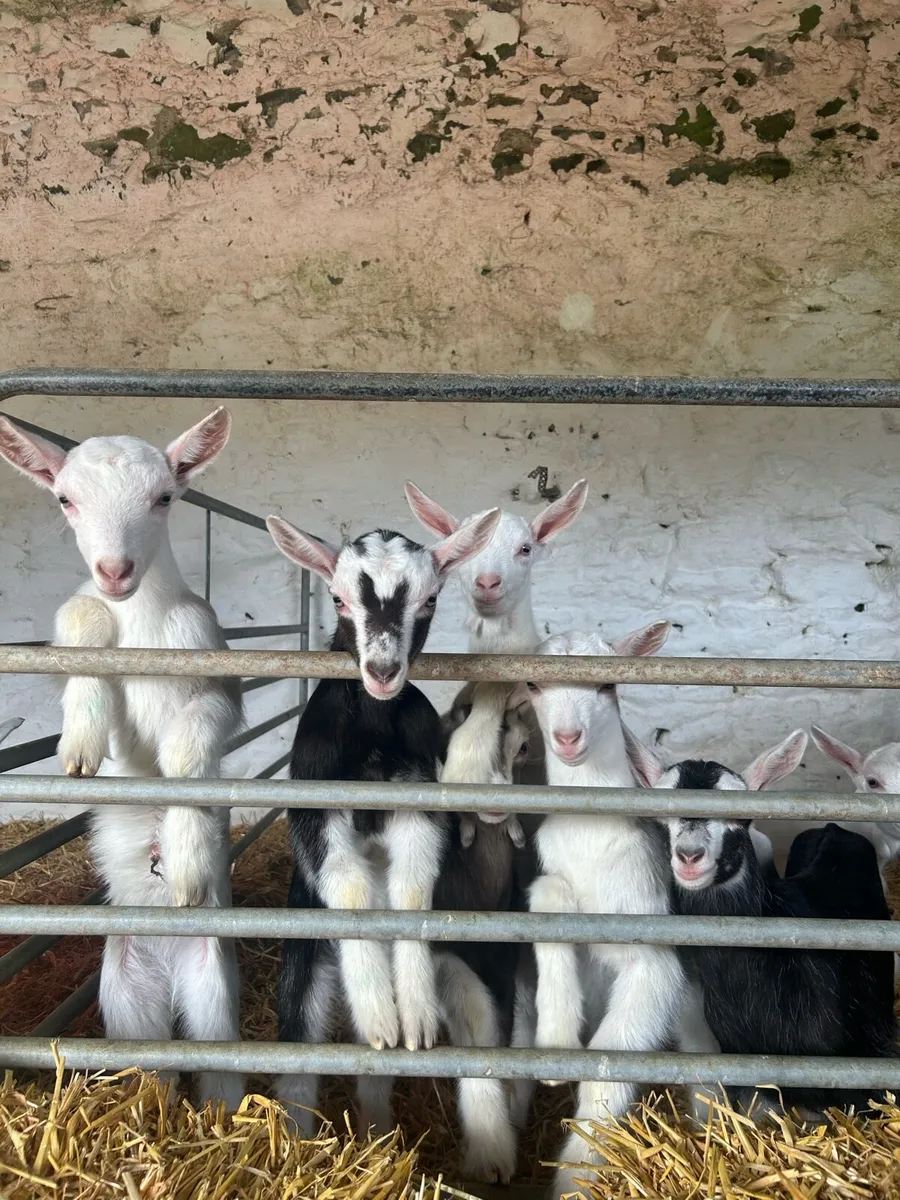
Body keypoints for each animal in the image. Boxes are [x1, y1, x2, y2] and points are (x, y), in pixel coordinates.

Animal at [0, 410, 243, 1109]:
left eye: (164, 497)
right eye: (64, 499)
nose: (115, 569)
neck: (140, 625)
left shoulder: (216, 679)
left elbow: (191, 745)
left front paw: (186, 858)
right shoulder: (79, 635)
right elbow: (81, 622)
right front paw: (80, 745)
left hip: (214, 991)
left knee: (219, 1072)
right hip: (125, 992)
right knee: (152, 1065)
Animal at [265, 509, 500, 1138]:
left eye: (430, 598)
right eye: (338, 598)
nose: (383, 669)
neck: (370, 736)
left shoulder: (417, 800)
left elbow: (412, 891)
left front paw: (412, 1017)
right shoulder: (314, 805)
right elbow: (350, 891)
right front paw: (378, 1015)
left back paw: (374, 1130)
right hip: (304, 956)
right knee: (299, 1047)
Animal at [518, 623, 683, 1200]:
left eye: (608, 683)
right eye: (533, 684)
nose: (568, 737)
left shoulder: (652, 953)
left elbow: (606, 1069)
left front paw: (575, 1174)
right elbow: (548, 896)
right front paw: (556, 1039)